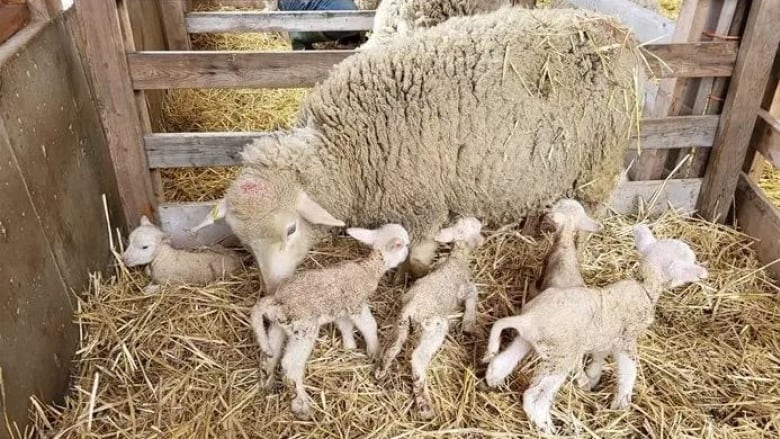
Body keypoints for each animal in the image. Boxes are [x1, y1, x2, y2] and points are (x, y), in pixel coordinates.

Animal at [198, 8, 644, 300]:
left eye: (290, 230)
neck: (345, 148)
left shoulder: (422, 203)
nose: (270, 290)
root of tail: (617, 30)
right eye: (243, 240)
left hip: (600, 160)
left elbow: (418, 257)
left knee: (591, 209)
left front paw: (413, 281)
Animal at [250, 225, 412, 422]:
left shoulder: (340, 310)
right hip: (304, 330)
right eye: (404, 245)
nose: (409, 250)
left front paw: (349, 347)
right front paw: (374, 350)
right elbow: (368, 325)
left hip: (279, 327)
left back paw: (267, 384)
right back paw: (302, 406)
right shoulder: (356, 304)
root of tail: (275, 300)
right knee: (290, 366)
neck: (368, 270)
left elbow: (345, 326)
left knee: (269, 355)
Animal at [374, 217, 484, 420]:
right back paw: (425, 406)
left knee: (394, 346)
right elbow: (473, 293)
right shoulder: (463, 289)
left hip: (401, 323)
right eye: (476, 228)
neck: (456, 259)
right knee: (418, 357)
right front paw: (469, 324)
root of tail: (412, 307)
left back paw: (381, 370)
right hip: (434, 327)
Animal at [482, 225, 708, 434]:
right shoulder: (627, 340)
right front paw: (621, 403)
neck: (645, 287)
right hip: (561, 355)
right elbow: (629, 370)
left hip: (531, 340)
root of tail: (529, 319)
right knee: (533, 396)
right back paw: (546, 427)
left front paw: (591, 378)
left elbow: (599, 357)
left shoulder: (606, 337)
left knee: (502, 362)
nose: (701, 274)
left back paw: (494, 380)